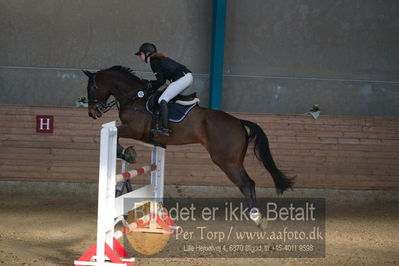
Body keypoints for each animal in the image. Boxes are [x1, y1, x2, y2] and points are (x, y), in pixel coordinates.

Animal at [82, 66, 294, 229]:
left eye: (92, 87)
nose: (92, 113)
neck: (134, 97)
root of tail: (239, 122)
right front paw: (129, 153)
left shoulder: (133, 129)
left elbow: (117, 134)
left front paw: (127, 154)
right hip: (235, 160)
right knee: (250, 183)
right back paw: (256, 216)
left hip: (225, 160)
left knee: (246, 183)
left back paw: (256, 217)